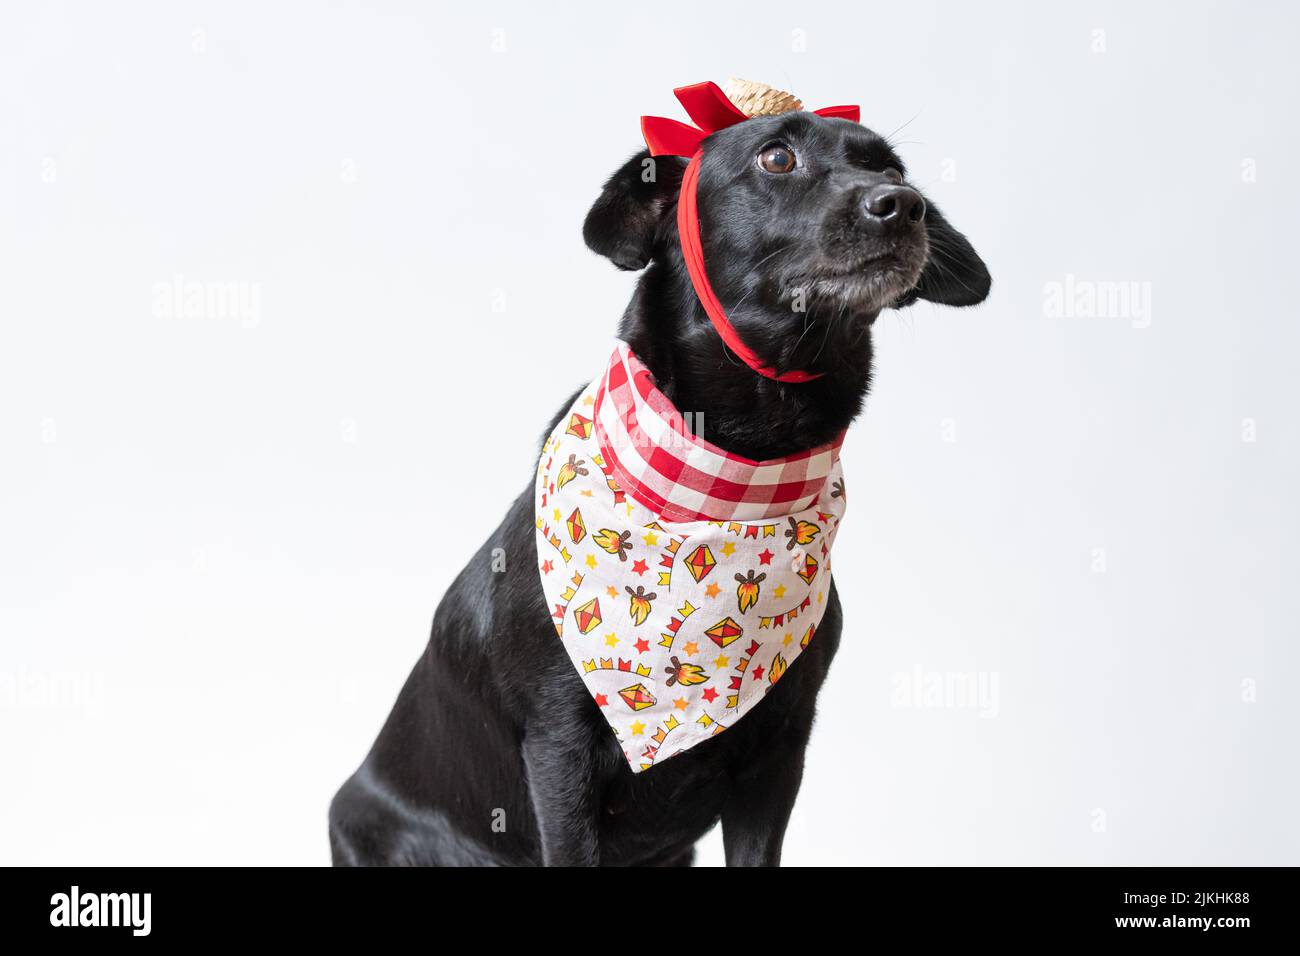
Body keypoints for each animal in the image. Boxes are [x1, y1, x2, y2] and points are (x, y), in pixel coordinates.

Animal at [330, 104, 987, 868]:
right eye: (776, 158)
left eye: (892, 168)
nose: (903, 205)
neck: (733, 478)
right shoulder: (561, 751)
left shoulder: (780, 752)